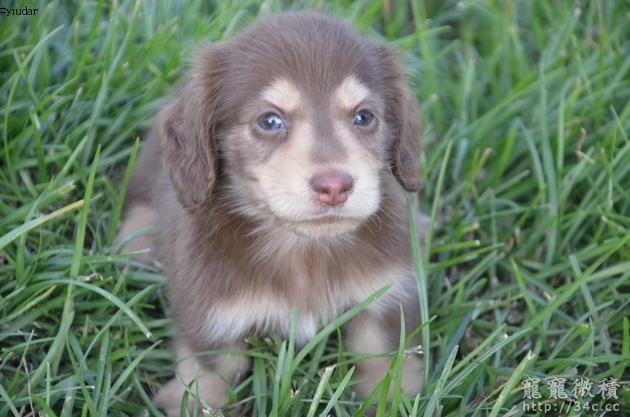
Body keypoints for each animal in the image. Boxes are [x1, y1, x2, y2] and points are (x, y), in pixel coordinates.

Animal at [118, 12, 425, 416]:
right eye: (269, 121)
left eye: (363, 117)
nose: (334, 187)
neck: (304, 251)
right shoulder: (213, 322)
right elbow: (211, 380)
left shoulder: (384, 299)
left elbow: (383, 364)